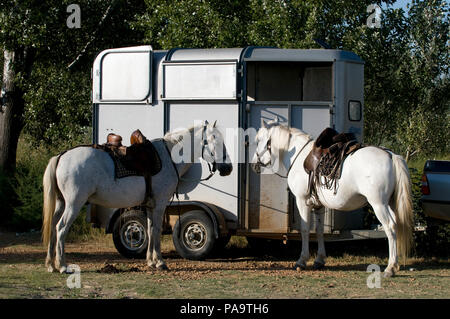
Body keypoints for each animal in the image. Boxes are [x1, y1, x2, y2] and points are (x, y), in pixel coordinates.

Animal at [42, 121, 232, 274]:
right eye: (215, 140)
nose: (228, 168)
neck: (169, 158)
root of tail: (61, 156)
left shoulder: (149, 205)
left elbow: (150, 229)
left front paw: (150, 261)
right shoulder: (160, 204)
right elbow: (156, 231)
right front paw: (160, 262)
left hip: (61, 203)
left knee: (53, 227)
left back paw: (51, 265)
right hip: (74, 204)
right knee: (61, 228)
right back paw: (63, 266)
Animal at [251, 119, 414, 278]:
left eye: (258, 140)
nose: (253, 165)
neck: (298, 157)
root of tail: (391, 156)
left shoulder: (302, 201)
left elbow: (305, 229)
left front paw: (302, 261)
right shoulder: (318, 205)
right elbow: (319, 230)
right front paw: (319, 260)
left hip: (379, 204)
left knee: (390, 227)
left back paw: (390, 268)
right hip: (390, 204)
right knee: (396, 225)